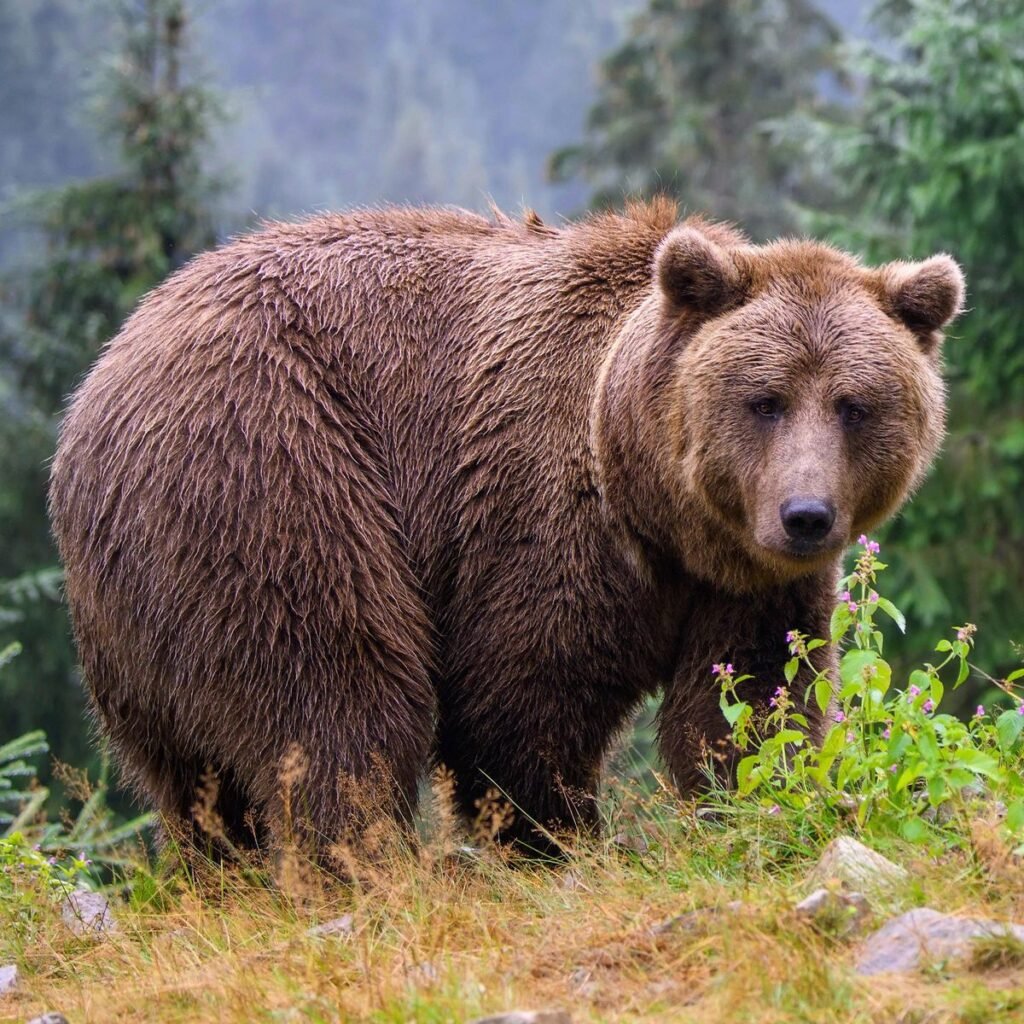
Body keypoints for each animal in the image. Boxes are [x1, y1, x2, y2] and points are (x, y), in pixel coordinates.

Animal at [49, 199, 964, 860]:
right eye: (765, 400)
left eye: (854, 405)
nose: (805, 515)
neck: (653, 507)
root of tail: (106, 371)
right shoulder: (536, 513)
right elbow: (521, 701)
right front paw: (560, 840)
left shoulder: (746, 584)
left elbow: (750, 701)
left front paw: (757, 804)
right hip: (271, 468)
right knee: (334, 692)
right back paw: (361, 860)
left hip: (134, 613)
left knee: (190, 776)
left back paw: (221, 864)